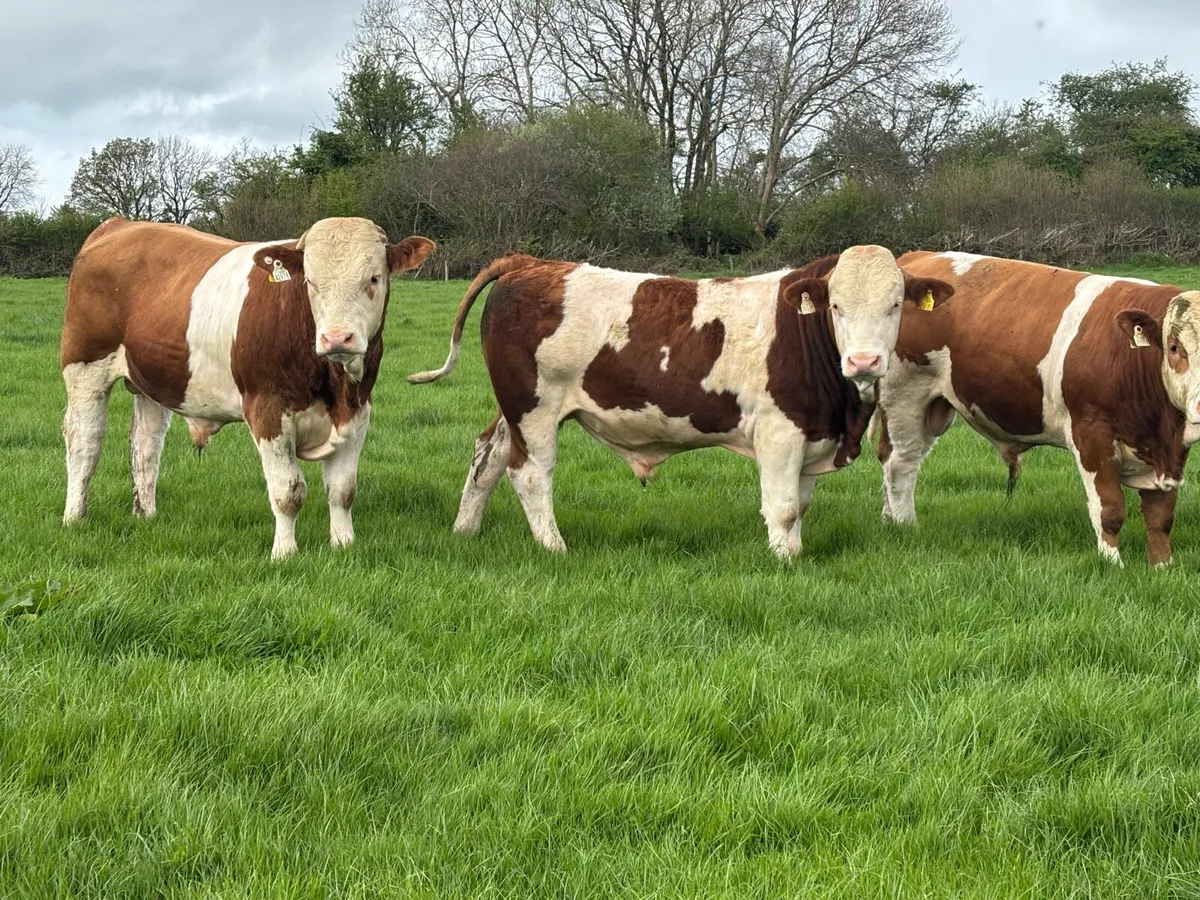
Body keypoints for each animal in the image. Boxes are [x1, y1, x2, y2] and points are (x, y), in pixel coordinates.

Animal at [60, 216, 436, 559]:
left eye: (374, 278)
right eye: (311, 282)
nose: (337, 338)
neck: (334, 381)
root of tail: (120, 224)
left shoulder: (357, 411)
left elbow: (343, 490)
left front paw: (343, 545)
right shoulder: (268, 410)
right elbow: (288, 492)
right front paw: (284, 553)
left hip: (152, 380)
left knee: (145, 446)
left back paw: (145, 514)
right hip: (85, 368)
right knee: (84, 441)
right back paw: (75, 516)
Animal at [408, 248, 953, 556]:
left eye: (896, 305)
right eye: (836, 306)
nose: (864, 361)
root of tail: (531, 263)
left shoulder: (810, 434)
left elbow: (798, 506)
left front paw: (794, 552)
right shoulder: (780, 433)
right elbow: (781, 508)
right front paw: (785, 561)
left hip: (514, 407)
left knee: (488, 456)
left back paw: (465, 531)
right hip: (535, 407)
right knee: (529, 474)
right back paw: (554, 548)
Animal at [875, 251, 1200, 567]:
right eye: (1174, 347)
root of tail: (917, 258)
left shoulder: (1169, 455)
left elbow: (1161, 519)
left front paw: (1162, 567)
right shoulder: (1092, 436)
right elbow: (1110, 510)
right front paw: (1113, 565)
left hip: (933, 407)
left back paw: (889, 520)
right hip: (903, 396)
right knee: (900, 464)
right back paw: (905, 526)